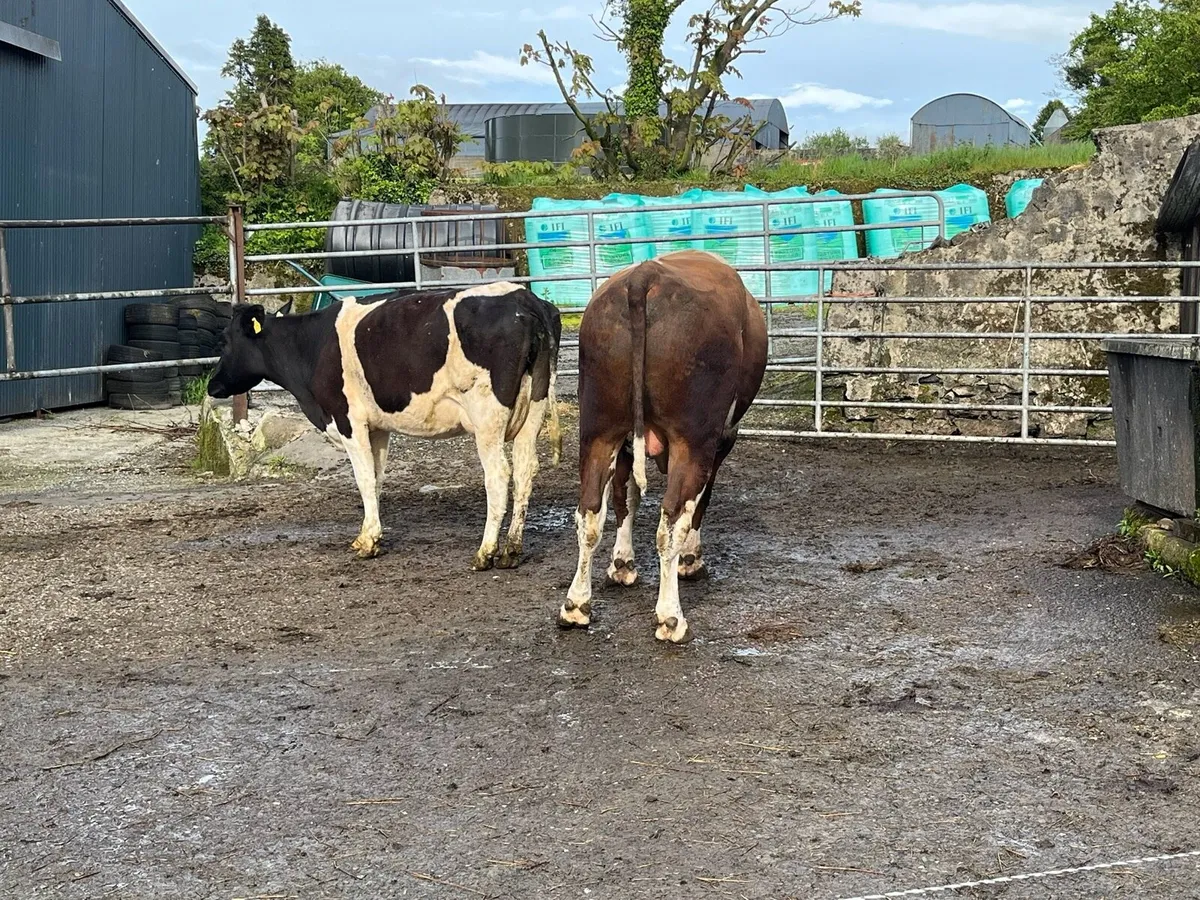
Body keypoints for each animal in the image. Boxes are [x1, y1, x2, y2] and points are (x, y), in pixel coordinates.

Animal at [207, 283, 562, 570]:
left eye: (224, 341)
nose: (212, 385)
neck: (311, 348)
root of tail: (524, 298)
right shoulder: (376, 427)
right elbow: (376, 479)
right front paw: (369, 533)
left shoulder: (348, 420)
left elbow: (363, 479)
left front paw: (367, 543)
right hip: (533, 408)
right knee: (526, 470)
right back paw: (512, 550)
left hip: (487, 416)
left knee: (498, 475)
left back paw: (485, 552)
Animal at [557, 251, 767, 643]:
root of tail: (644, 276)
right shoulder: (721, 437)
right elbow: (700, 501)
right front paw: (691, 560)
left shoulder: (625, 441)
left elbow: (625, 499)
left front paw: (622, 564)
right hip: (693, 439)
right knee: (671, 521)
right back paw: (671, 617)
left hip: (598, 429)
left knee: (590, 512)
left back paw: (576, 606)